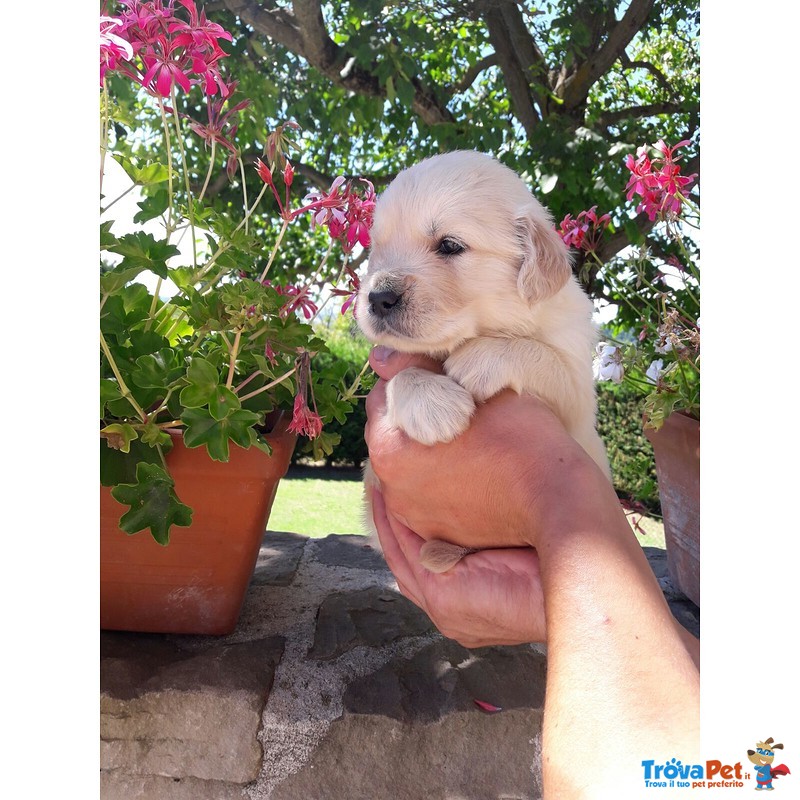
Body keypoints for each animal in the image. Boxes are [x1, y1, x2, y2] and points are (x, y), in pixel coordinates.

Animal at [354, 150, 608, 572]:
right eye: (377, 248)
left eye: (449, 245)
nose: (378, 297)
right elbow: (399, 376)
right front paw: (432, 404)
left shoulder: (577, 393)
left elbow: (544, 358)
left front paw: (480, 358)